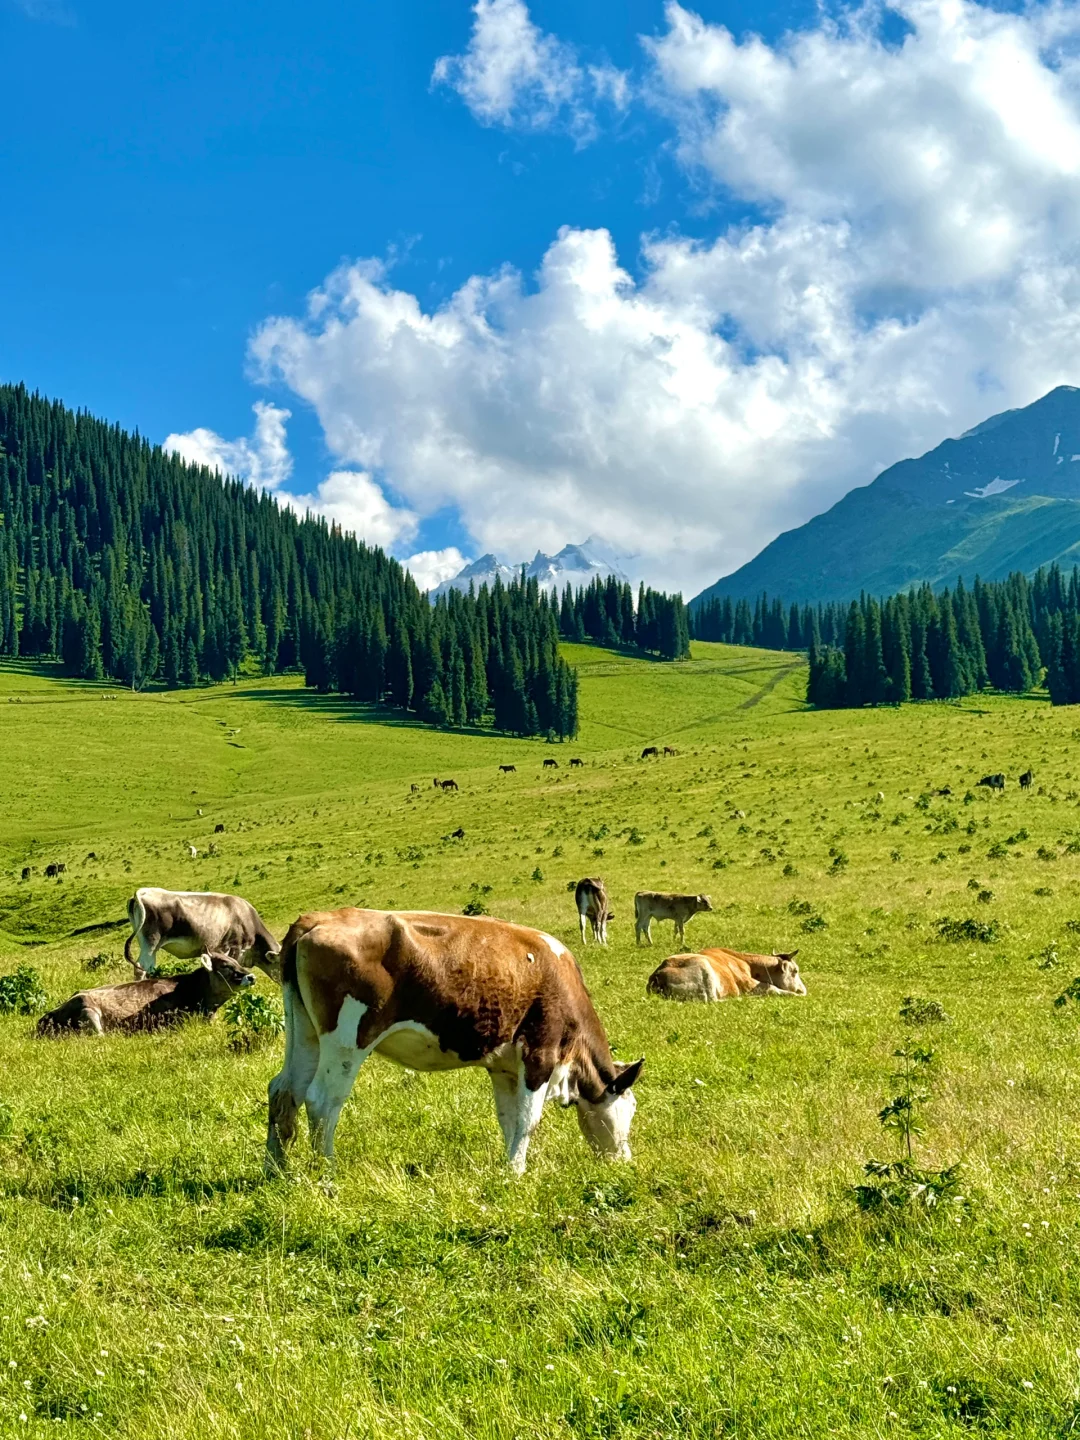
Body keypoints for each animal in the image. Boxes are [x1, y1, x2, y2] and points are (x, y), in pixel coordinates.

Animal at [266, 904, 648, 1175]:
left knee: (284, 1090)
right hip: (346, 1040)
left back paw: (277, 1170)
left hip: (304, 1032)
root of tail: (317, 920)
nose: (626, 1159)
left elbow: (509, 1118)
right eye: (630, 1108)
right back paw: (327, 1176)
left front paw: (507, 1168)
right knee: (321, 1101)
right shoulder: (540, 1054)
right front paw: (517, 1173)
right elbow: (528, 1121)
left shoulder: (504, 1068)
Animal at [648, 944, 806, 1002]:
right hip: (705, 970)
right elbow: (773, 988)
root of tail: (659, 973)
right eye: (795, 971)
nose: (803, 990)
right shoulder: (750, 984)